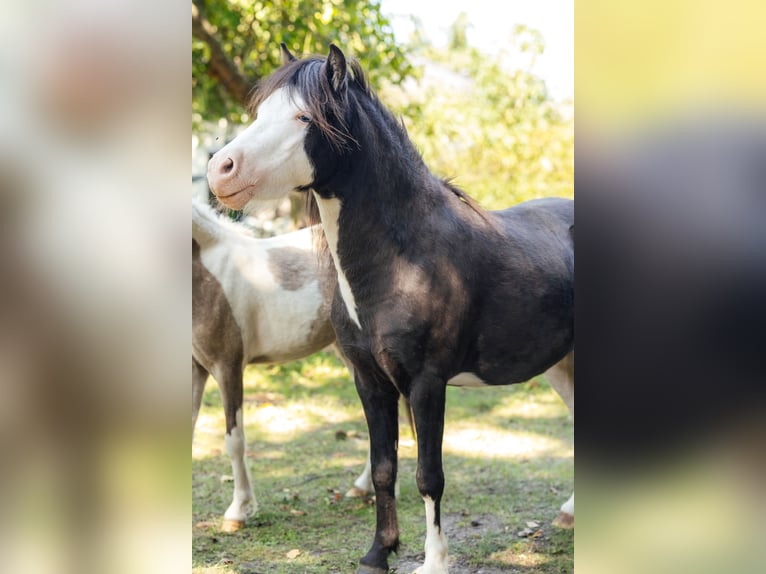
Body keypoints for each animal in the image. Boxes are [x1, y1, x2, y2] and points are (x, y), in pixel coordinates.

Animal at [192, 198, 385, 532]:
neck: (209, 273)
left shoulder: (228, 368)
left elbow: (235, 440)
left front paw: (239, 511)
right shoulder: (195, 369)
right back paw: (362, 488)